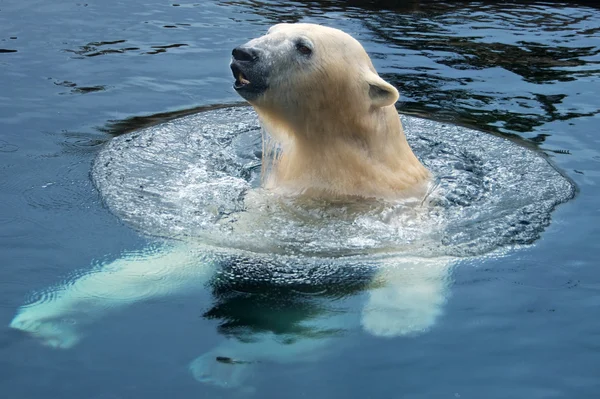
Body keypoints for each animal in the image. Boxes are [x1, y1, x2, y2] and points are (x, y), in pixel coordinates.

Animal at [10, 23, 454, 390]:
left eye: (303, 46)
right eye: (272, 31)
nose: (245, 53)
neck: (340, 166)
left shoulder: (395, 210)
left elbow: (417, 259)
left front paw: (394, 323)